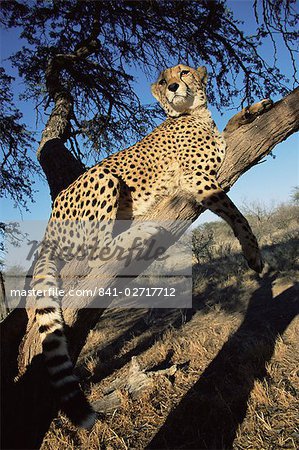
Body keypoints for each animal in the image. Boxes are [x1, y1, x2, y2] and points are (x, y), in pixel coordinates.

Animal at [31, 64, 270, 428]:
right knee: (98, 247)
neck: (194, 114)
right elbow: (235, 213)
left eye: (183, 72)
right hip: (104, 177)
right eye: (162, 80)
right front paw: (252, 251)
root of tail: (49, 221)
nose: (172, 87)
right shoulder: (195, 178)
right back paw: (136, 229)